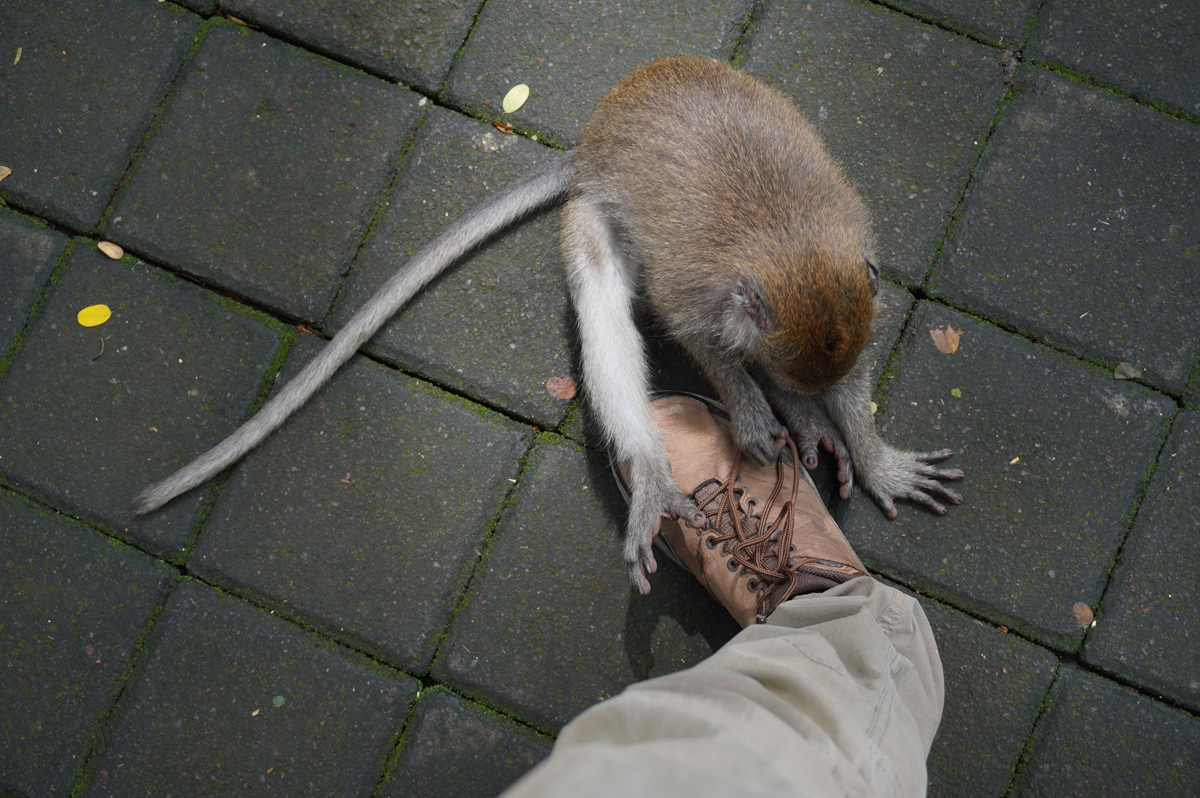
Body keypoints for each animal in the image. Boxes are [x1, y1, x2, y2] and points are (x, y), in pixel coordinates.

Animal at [129, 56, 963, 594]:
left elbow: (849, 370)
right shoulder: (697, 292)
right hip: (592, 207)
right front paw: (760, 408)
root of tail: (596, 137)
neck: (789, 242)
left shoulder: (854, 272)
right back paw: (656, 470)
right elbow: (699, 339)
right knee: (602, 302)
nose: (793, 391)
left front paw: (862, 446)